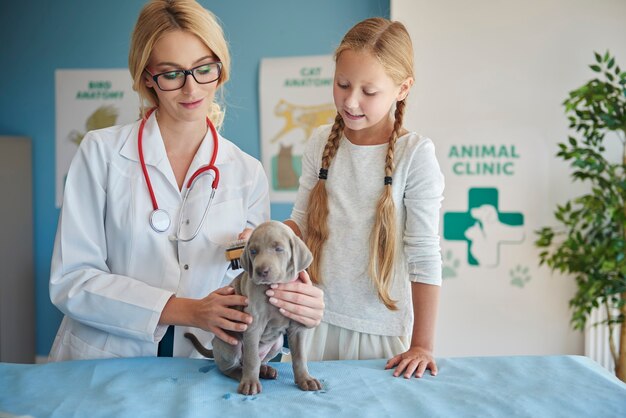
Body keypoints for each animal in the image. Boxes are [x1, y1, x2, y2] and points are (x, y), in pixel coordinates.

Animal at [183, 220, 320, 394]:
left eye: (279, 249)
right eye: (253, 251)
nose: (261, 271)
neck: (273, 286)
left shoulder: (296, 328)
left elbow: (300, 356)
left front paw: (306, 379)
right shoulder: (253, 325)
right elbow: (252, 359)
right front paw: (249, 383)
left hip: (277, 344)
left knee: (261, 360)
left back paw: (265, 370)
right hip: (231, 344)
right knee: (233, 366)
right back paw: (240, 373)